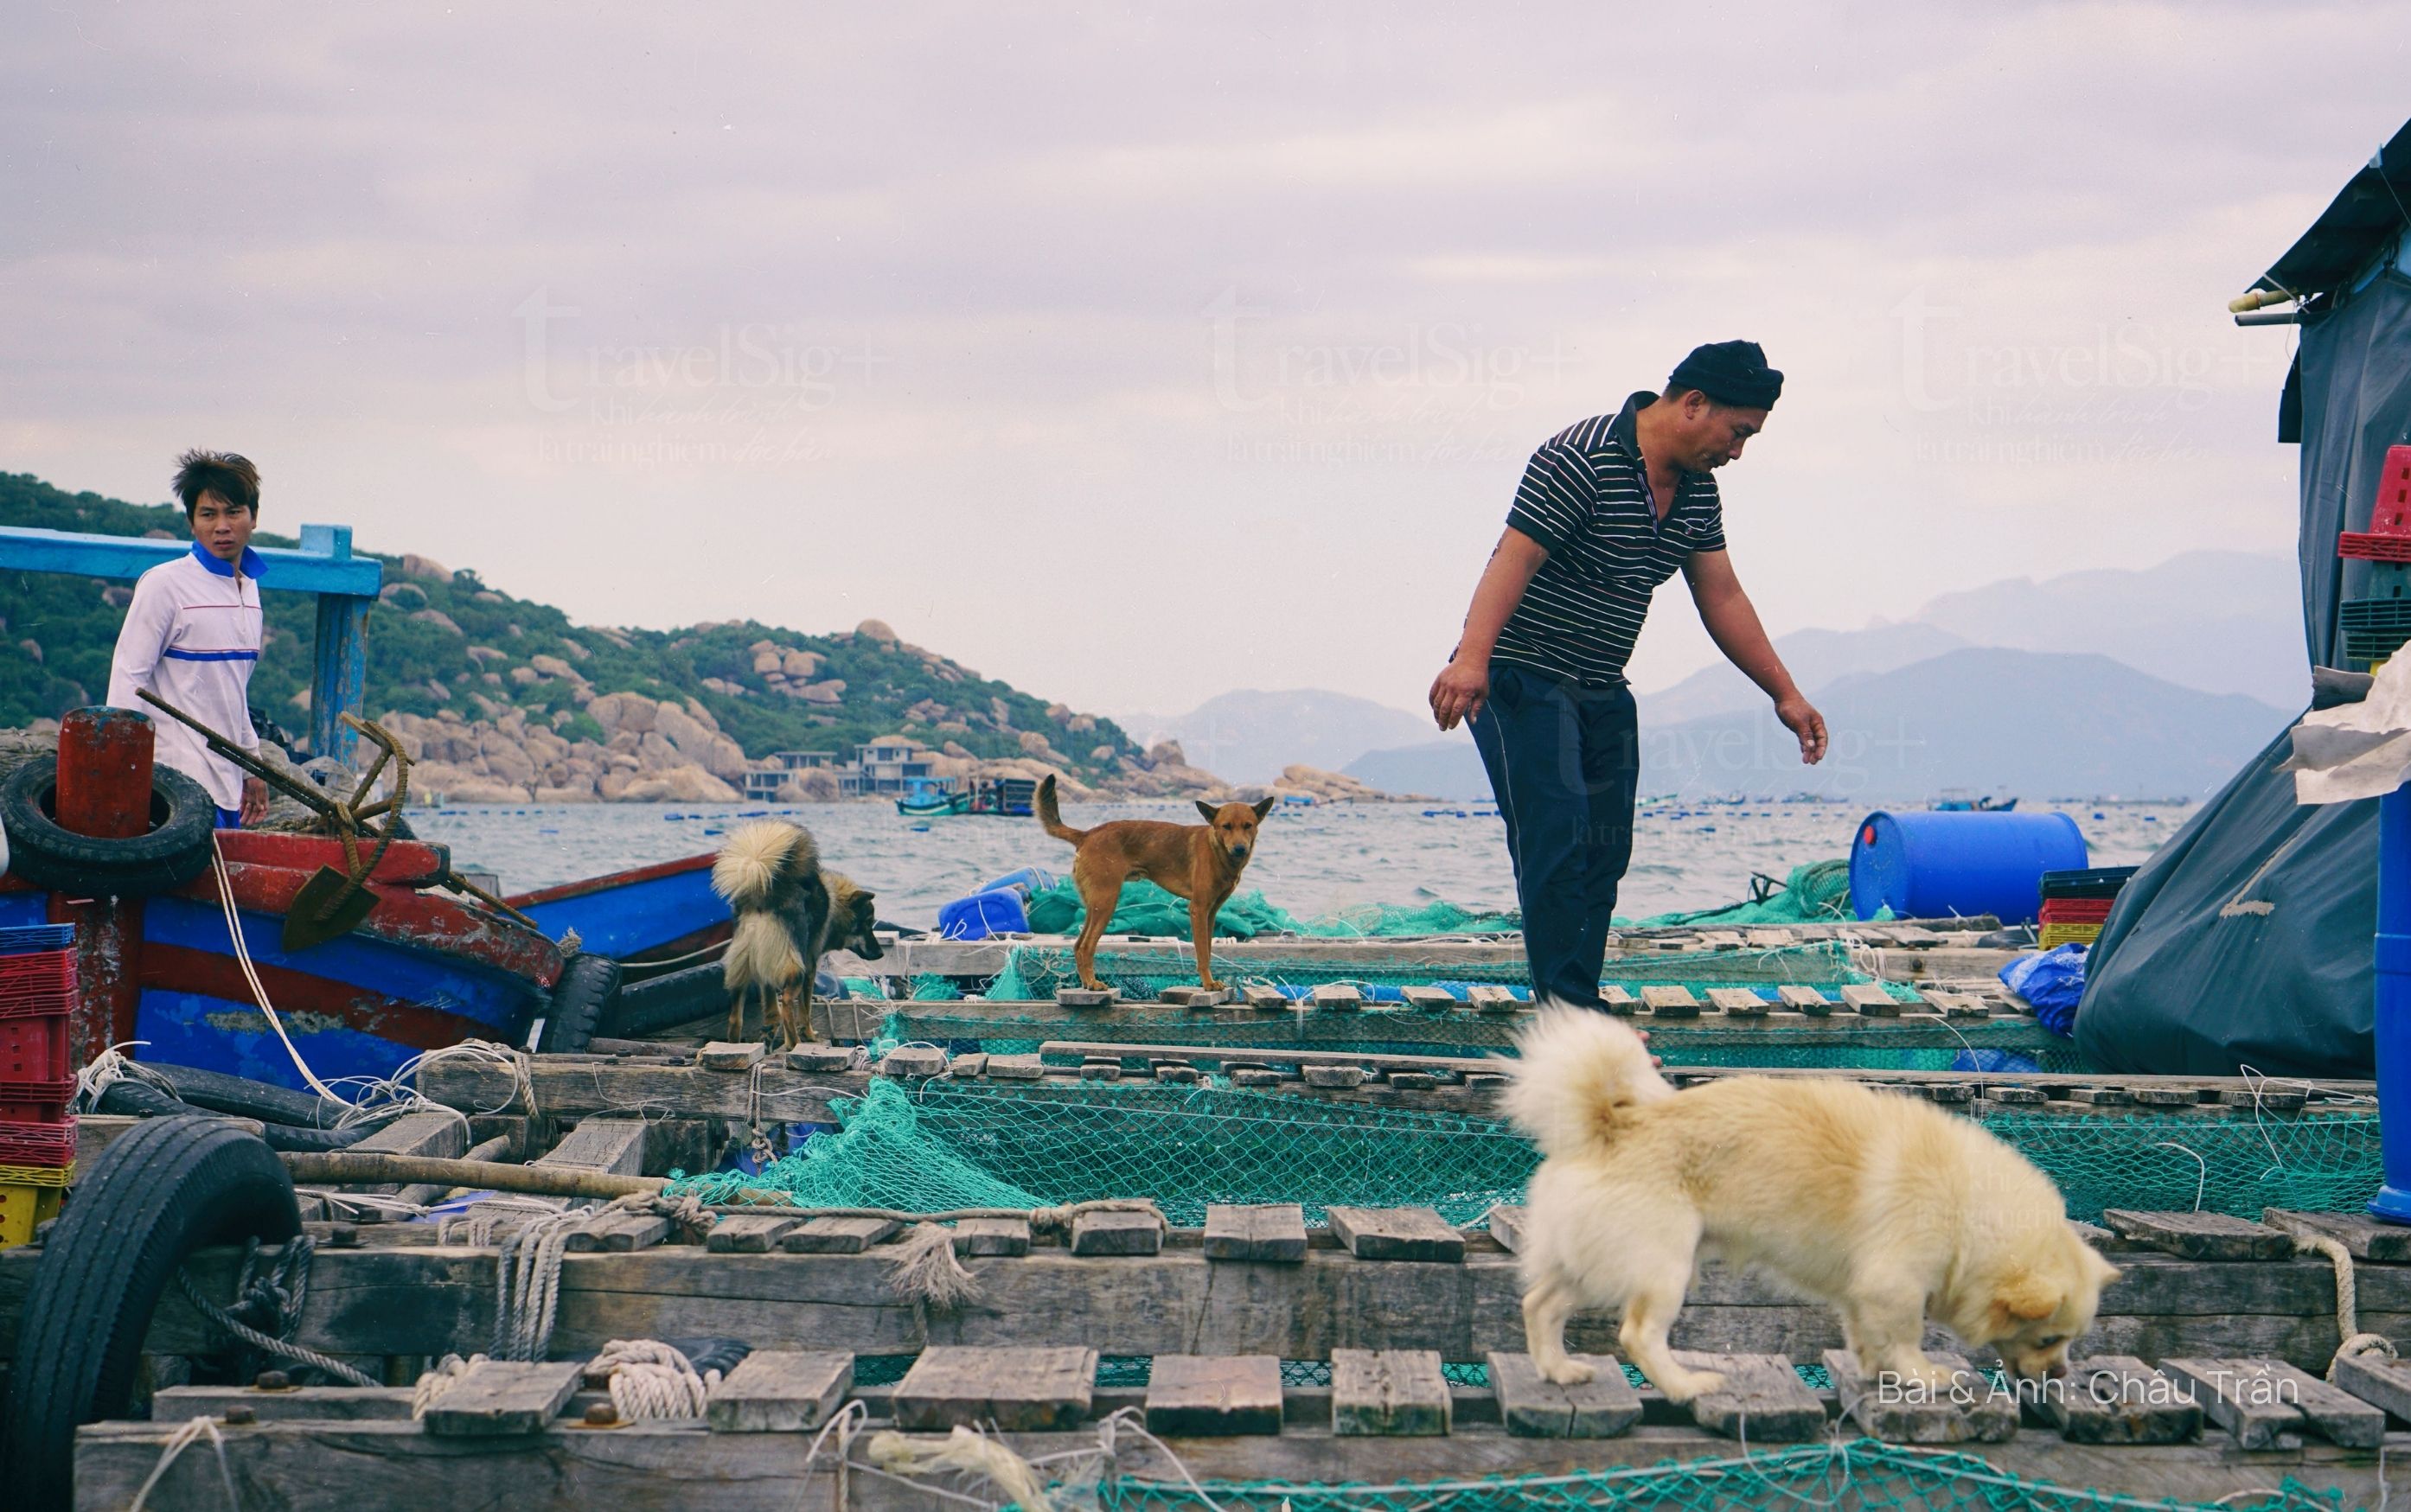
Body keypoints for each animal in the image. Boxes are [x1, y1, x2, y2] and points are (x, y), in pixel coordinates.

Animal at [713, 820, 886, 1046]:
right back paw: (794, 1043)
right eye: (867, 924)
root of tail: (764, 894)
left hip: (743, 963)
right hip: (796, 966)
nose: (881, 954)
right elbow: (805, 1007)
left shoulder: (767, 962)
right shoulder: (811, 963)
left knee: (735, 1018)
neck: (835, 904)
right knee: (788, 1002)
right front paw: (809, 1034)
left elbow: (770, 1004)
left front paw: (770, 1027)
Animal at [1036, 776, 1273, 998]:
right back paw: (1093, 984)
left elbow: (1208, 948)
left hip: (1094, 905)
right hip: (1106, 903)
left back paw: (1087, 983)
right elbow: (1202, 954)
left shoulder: (1211, 912)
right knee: (1086, 947)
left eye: (1248, 826)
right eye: (1226, 827)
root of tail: (1087, 835)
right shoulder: (1198, 910)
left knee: (1078, 945)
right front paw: (1207, 984)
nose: (1240, 849)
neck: (1218, 851)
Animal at [1494, 1008, 2121, 1408]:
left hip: (1593, 1264)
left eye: (2069, 1342)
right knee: (1637, 1336)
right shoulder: (1895, 1286)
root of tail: (1612, 1124)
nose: (2061, 1373)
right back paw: (1685, 1386)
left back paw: (1557, 1369)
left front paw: (1877, 1375)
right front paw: (1923, 1376)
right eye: (2047, 1340)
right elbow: (1905, 1337)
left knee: (1538, 1304)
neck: (1970, 1209)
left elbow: (1867, 1339)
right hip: (1665, 1267)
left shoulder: (1862, 1294)